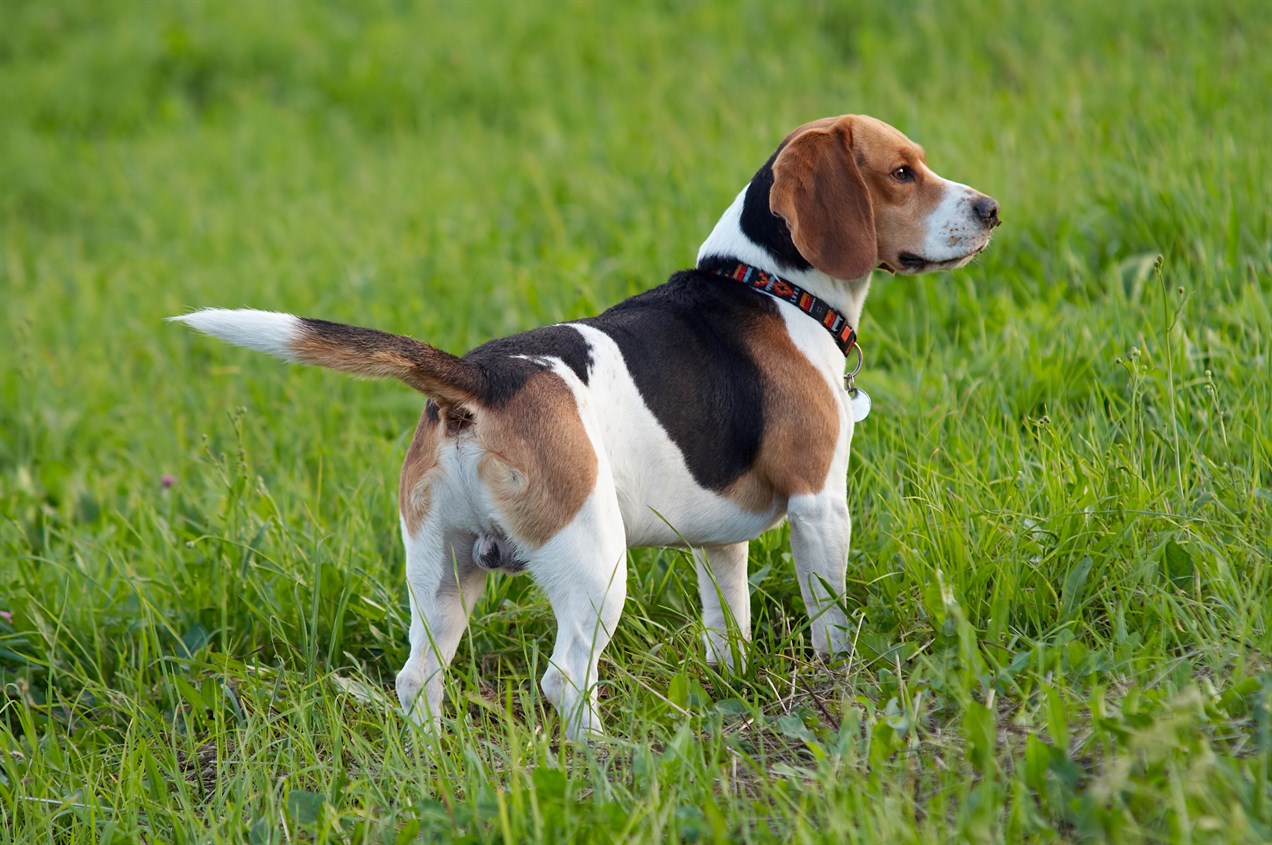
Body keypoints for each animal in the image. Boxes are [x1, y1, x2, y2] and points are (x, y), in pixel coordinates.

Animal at [171, 113, 1002, 738]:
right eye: (902, 172)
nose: (991, 208)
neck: (771, 284)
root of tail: (480, 382)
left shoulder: (718, 541)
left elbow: (726, 616)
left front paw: (733, 678)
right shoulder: (820, 503)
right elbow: (829, 616)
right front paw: (842, 682)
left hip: (442, 572)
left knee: (417, 676)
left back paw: (431, 759)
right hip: (593, 560)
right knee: (566, 677)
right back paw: (606, 758)